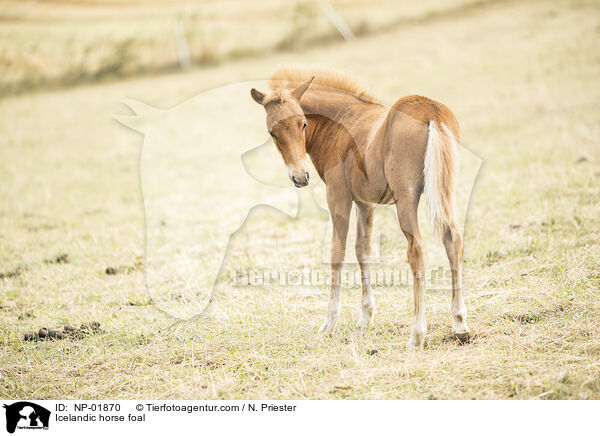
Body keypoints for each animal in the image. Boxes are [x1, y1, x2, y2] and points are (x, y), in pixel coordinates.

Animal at [251, 66, 472, 350]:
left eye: (303, 123)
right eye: (272, 132)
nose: (300, 177)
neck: (340, 122)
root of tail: (431, 111)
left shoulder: (338, 197)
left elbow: (337, 253)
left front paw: (329, 322)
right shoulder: (365, 203)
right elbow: (362, 251)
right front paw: (366, 316)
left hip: (407, 198)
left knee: (417, 249)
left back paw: (416, 334)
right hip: (445, 189)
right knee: (452, 237)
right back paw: (460, 324)